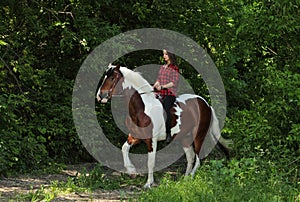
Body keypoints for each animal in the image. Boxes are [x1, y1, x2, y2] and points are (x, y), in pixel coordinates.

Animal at [97, 64, 233, 188]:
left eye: (112, 78)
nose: (100, 95)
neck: (142, 108)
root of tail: (206, 104)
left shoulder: (151, 140)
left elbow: (150, 162)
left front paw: (148, 183)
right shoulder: (135, 136)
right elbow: (124, 148)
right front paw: (132, 171)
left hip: (199, 135)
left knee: (198, 158)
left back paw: (191, 177)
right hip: (185, 137)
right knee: (190, 157)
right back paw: (185, 179)